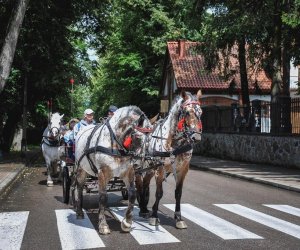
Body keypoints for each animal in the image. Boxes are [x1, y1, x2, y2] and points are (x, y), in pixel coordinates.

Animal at [73, 105, 152, 234]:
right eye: (137, 137)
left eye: (150, 140)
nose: (139, 164)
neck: (116, 143)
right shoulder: (102, 174)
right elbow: (103, 198)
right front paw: (103, 226)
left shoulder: (128, 172)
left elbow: (132, 195)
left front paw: (127, 223)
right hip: (81, 169)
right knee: (78, 188)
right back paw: (79, 212)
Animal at [135, 91, 202, 229]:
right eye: (187, 112)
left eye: (201, 112)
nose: (196, 137)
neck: (174, 143)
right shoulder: (160, 169)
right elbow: (159, 193)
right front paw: (155, 216)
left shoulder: (183, 170)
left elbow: (178, 193)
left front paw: (178, 218)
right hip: (138, 167)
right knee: (139, 185)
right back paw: (142, 209)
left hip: (150, 169)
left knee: (145, 184)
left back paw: (144, 207)